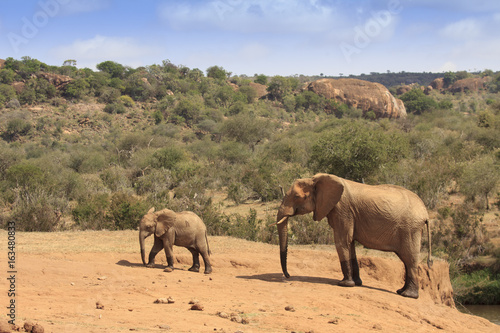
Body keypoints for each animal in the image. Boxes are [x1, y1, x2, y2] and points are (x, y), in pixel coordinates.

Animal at [276, 172, 432, 296]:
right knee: (406, 260)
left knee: (409, 258)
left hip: (410, 228)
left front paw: (344, 284)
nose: (288, 276)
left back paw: (408, 295)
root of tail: (425, 213)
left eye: (297, 196)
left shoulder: (343, 210)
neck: (317, 180)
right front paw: (356, 283)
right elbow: (349, 243)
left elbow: (342, 241)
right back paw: (401, 291)